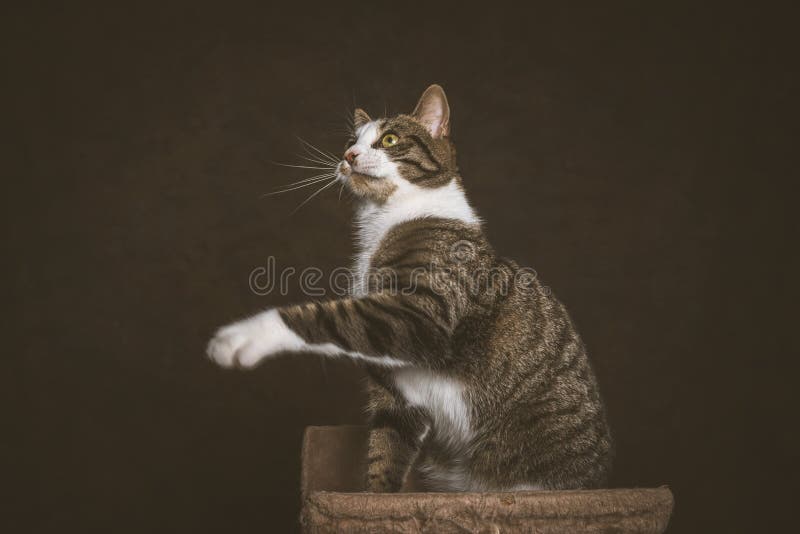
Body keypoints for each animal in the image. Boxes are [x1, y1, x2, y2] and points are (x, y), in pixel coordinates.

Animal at [206, 85, 612, 494]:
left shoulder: (420, 313)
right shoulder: (393, 390)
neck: (386, 219)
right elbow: (386, 446)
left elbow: (328, 315)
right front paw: (375, 498)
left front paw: (243, 336)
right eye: (351, 141)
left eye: (389, 140)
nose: (349, 156)